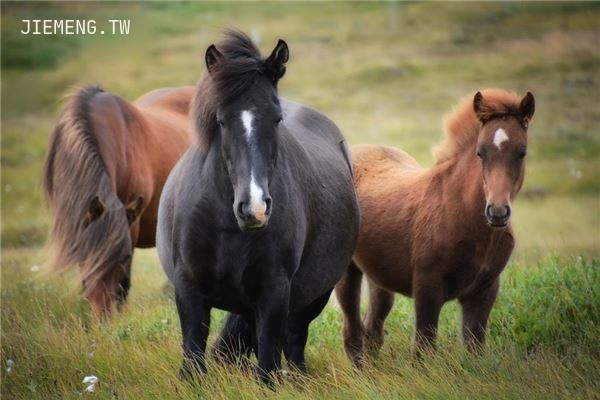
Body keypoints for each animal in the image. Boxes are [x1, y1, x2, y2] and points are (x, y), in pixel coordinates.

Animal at [157, 32, 358, 384]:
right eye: (221, 121)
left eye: (276, 119)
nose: (254, 208)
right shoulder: (189, 289)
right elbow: (193, 359)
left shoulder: (274, 293)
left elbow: (267, 367)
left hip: (312, 297)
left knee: (294, 343)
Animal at [336, 89, 536, 364]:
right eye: (480, 152)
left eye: (522, 152)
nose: (497, 212)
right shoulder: (427, 288)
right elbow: (423, 348)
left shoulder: (484, 292)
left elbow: (475, 348)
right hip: (347, 271)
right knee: (352, 333)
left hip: (379, 276)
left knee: (373, 329)